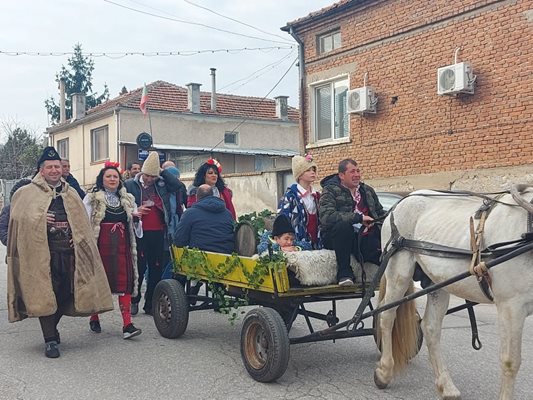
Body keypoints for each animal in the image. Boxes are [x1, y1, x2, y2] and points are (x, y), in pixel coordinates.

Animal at [374, 187, 532, 400]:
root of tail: (402, 201)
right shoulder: (511, 306)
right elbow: (510, 361)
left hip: (437, 282)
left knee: (430, 328)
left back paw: (446, 385)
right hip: (398, 270)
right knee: (387, 315)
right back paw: (384, 371)